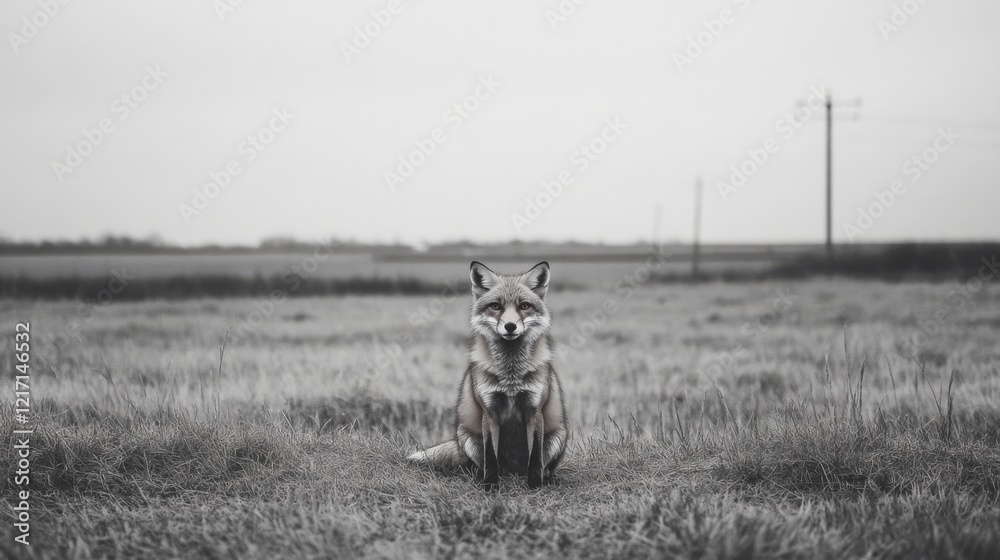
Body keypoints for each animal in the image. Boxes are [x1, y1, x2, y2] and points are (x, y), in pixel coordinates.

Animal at [407, 261, 568, 489]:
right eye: (496, 306)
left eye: (524, 306)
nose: (510, 326)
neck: (511, 376)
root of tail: (512, 473)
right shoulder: (489, 410)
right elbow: (490, 455)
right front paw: (490, 486)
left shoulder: (534, 409)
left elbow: (535, 457)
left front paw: (535, 485)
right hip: (467, 437)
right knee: (477, 464)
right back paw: (479, 476)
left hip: (558, 436)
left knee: (545, 465)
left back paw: (546, 478)